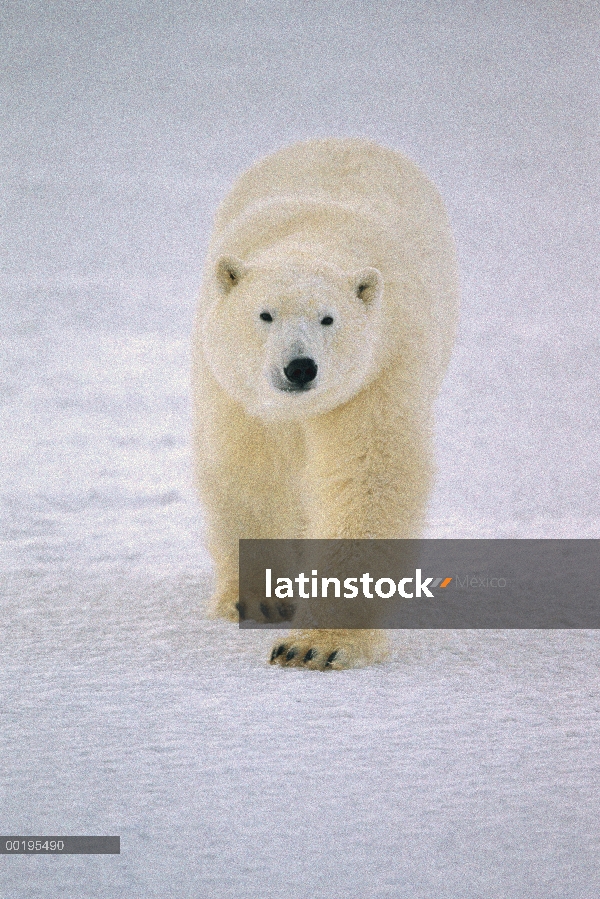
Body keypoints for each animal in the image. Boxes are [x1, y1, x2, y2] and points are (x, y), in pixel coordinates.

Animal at [192, 139, 460, 668]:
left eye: (329, 319)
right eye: (265, 314)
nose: (300, 368)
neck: (314, 237)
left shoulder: (378, 370)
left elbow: (367, 476)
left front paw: (314, 645)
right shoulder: (235, 391)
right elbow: (252, 473)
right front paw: (261, 601)